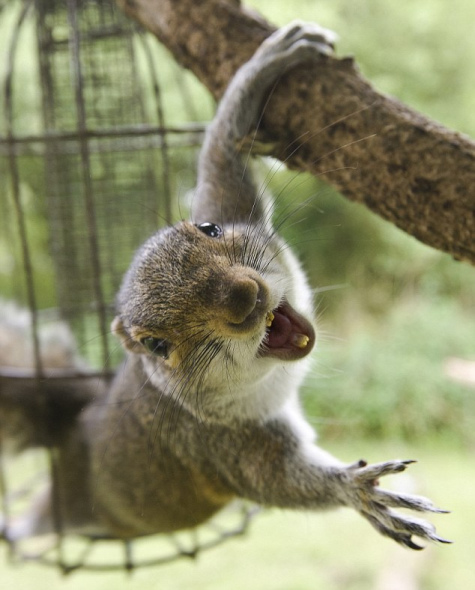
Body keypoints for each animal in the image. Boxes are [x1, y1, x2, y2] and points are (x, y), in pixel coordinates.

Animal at [0, 22, 448, 552]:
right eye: (156, 345)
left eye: (209, 228)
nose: (245, 297)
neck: (271, 380)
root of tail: (76, 426)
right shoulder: (215, 445)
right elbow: (281, 481)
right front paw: (358, 490)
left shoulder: (229, 202)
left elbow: (221, 151)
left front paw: (265, 64)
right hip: (72, 505)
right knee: (42, 519)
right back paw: (18, 529)